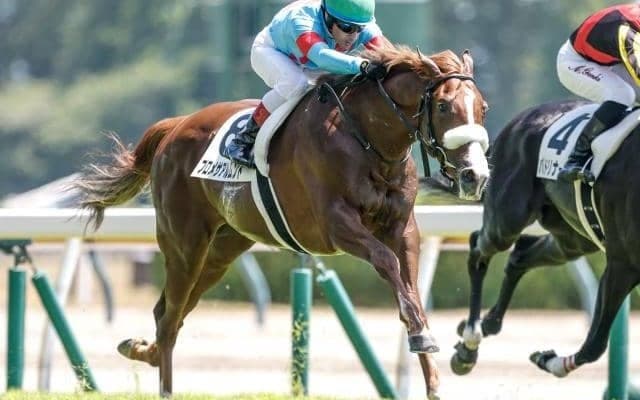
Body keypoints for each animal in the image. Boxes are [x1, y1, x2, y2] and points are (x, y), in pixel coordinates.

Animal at [73, 42, 490, 398]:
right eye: (443, 107)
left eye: (482, 108)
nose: (475, 175)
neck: (369, 142)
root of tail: (174, 126)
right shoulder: (335, 225)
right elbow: (387, 264)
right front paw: (423, 341)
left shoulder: (404, 228)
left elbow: (412, 292)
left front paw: (432, 372)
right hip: (184, 243)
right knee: (169, 315)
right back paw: (164, 384)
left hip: (223, 248)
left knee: (171, 310)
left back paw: (142, 348)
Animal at [449, 99, 640, 379]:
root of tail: (523, 117)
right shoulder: (622, 263)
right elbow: (594, 345)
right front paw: (548, 360)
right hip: (507, 220)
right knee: (478, 248)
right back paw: (470, 343)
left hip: (572, 238)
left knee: (520, 256)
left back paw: (485, 325)